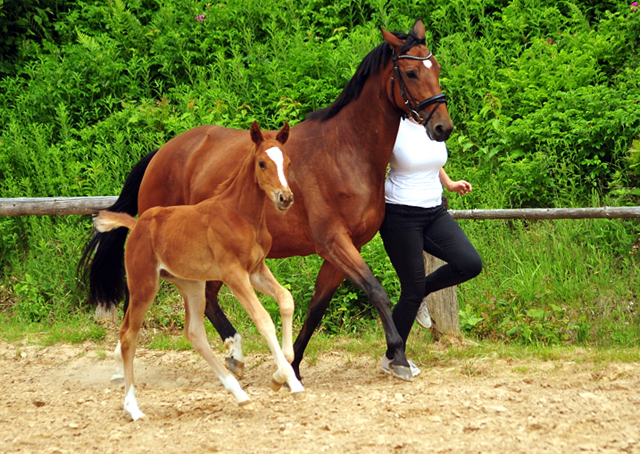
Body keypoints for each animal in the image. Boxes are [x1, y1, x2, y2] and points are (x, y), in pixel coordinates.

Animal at [80, 21, 452, 384]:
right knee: (144, 302)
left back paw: (234, 354)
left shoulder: (340, 251)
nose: (442, 127)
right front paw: (399, 357)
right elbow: (376, 291)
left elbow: (316, 307)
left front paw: (293, 365)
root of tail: (162, 153)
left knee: (208, 300)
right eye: (411, 73)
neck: (345, 151)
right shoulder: (334, 242)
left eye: (436, 67)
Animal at [94, 121, 302, 422]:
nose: (285, 197)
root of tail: (138, 224)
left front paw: (281, 375)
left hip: (191, 285)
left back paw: (240, 395)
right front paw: (291, 382)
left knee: (194, 333)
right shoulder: (233, 274)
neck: (240, 215)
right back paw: (133, 407)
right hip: (144, 285)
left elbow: (286, 299)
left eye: (287, 162)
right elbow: (263, 319)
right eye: (262, 163)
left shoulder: (255, 270)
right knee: (128, 336)